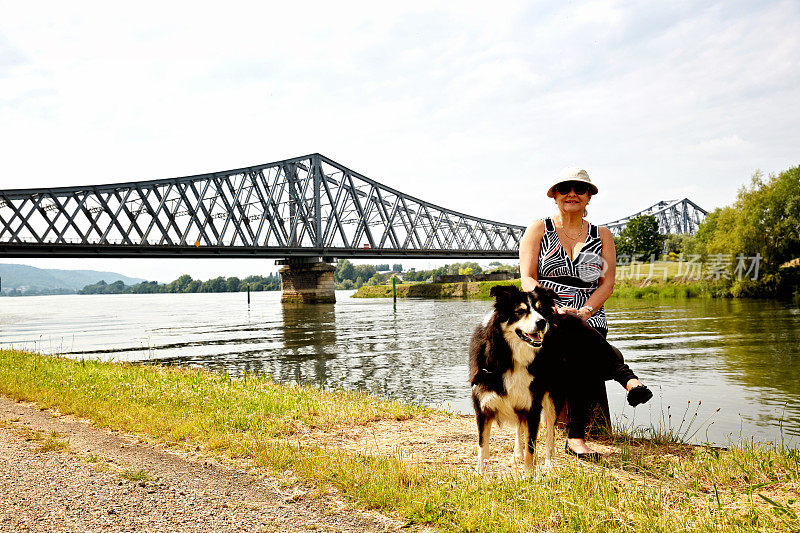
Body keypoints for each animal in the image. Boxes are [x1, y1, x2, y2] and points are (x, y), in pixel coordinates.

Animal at [468, 284, 608, 472]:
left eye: (540, 310)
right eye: (520, 311)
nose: (542, 322)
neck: (511, 356)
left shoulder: (532, 405)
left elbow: (531, 446)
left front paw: (528, 474)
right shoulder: (483, 405)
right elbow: (482, 445)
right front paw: (480, 473)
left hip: (552, 397)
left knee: (550, 432)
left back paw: (549, 462)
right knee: (520, 428)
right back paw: (517, 455)